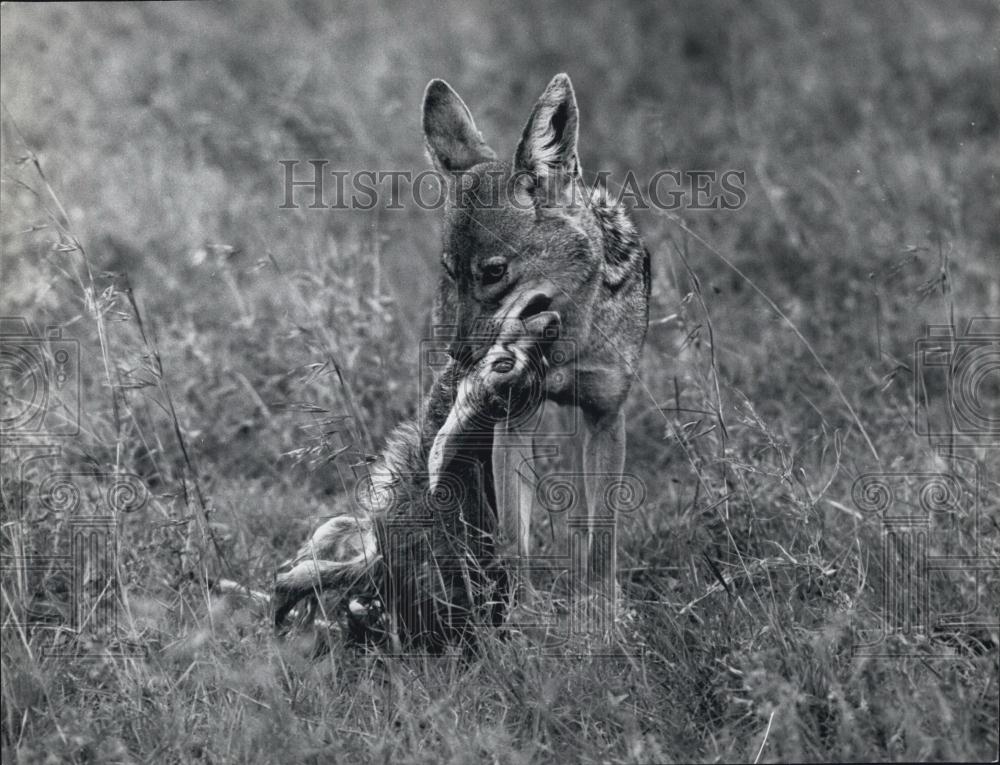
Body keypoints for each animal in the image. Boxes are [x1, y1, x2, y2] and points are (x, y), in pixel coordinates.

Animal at [420, 73, 648, 584]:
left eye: (494, 272)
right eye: (451, 272)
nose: (460, 356)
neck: (568, 341)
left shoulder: (607, 416)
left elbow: (601, 545)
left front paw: (600, 607)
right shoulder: (513, 421)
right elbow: (515, 545)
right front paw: (519, 606)